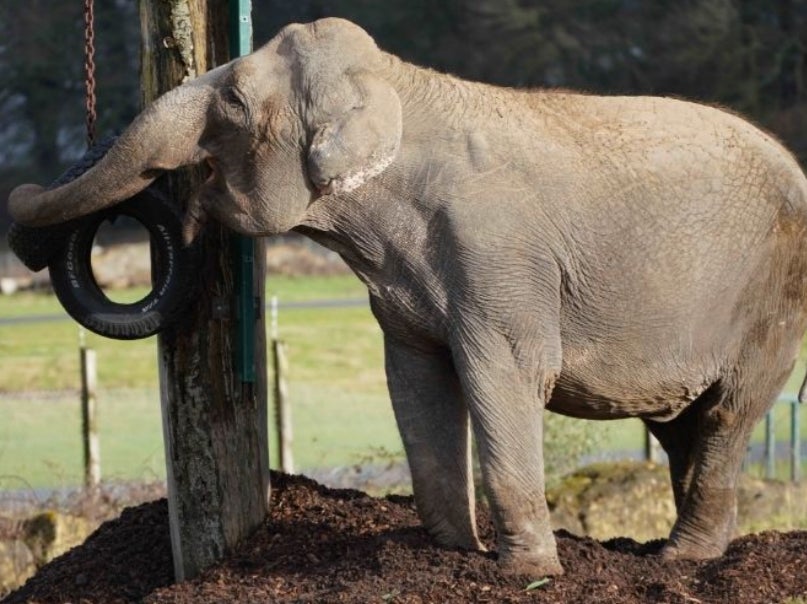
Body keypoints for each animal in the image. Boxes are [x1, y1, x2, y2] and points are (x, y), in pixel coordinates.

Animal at [9, 17, 807, 576]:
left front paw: (522, 573)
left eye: (233, 101)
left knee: (729, 412)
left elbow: (505, 373)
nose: (20, 199)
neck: (397, 83)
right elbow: (416, 378)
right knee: (682, 427)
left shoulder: (496, 253)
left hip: (775, 292)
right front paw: (454, 552)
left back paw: (681, 560)